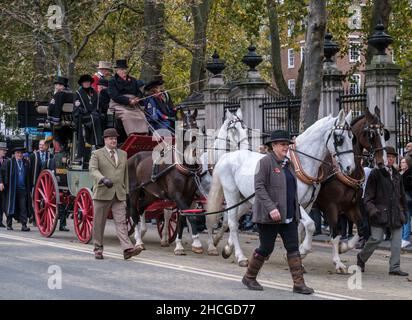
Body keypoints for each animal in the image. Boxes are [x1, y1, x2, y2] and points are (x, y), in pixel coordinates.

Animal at [126, 110, 202, 255]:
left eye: (196, 126)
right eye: (184, 128)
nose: (192, 152)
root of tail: (131, 158)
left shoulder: (188, 197)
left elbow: (183, 218)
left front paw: (180, 245)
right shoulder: (177, 196)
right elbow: (189, 215)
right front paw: (197, 242)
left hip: (150, 194)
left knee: (141, 208)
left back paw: (142, 232)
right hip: (134, 192)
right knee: (133, 213)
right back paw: (138, 241)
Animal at [208, 109, 356, 264]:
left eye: (352, 138)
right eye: (339, 138)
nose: (350, 168)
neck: (301, 164)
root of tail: (228, 156)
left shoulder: (308, 205)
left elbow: (300, 228)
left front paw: (296, 253)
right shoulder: (295, 202)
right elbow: (310, 225)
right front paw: (303, 250)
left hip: (247, 199)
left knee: (231, 219)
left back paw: (226, 247)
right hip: (232, 194)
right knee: (232, 222)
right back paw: (240, 256)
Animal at [314, 107, 388, 272]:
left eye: (383, 133)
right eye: (371, 134)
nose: (383, 162)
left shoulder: (351, 207)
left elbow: (362, 229)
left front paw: (344, 247)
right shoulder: (332, 207)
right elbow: (335, 233)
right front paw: (337, 261)